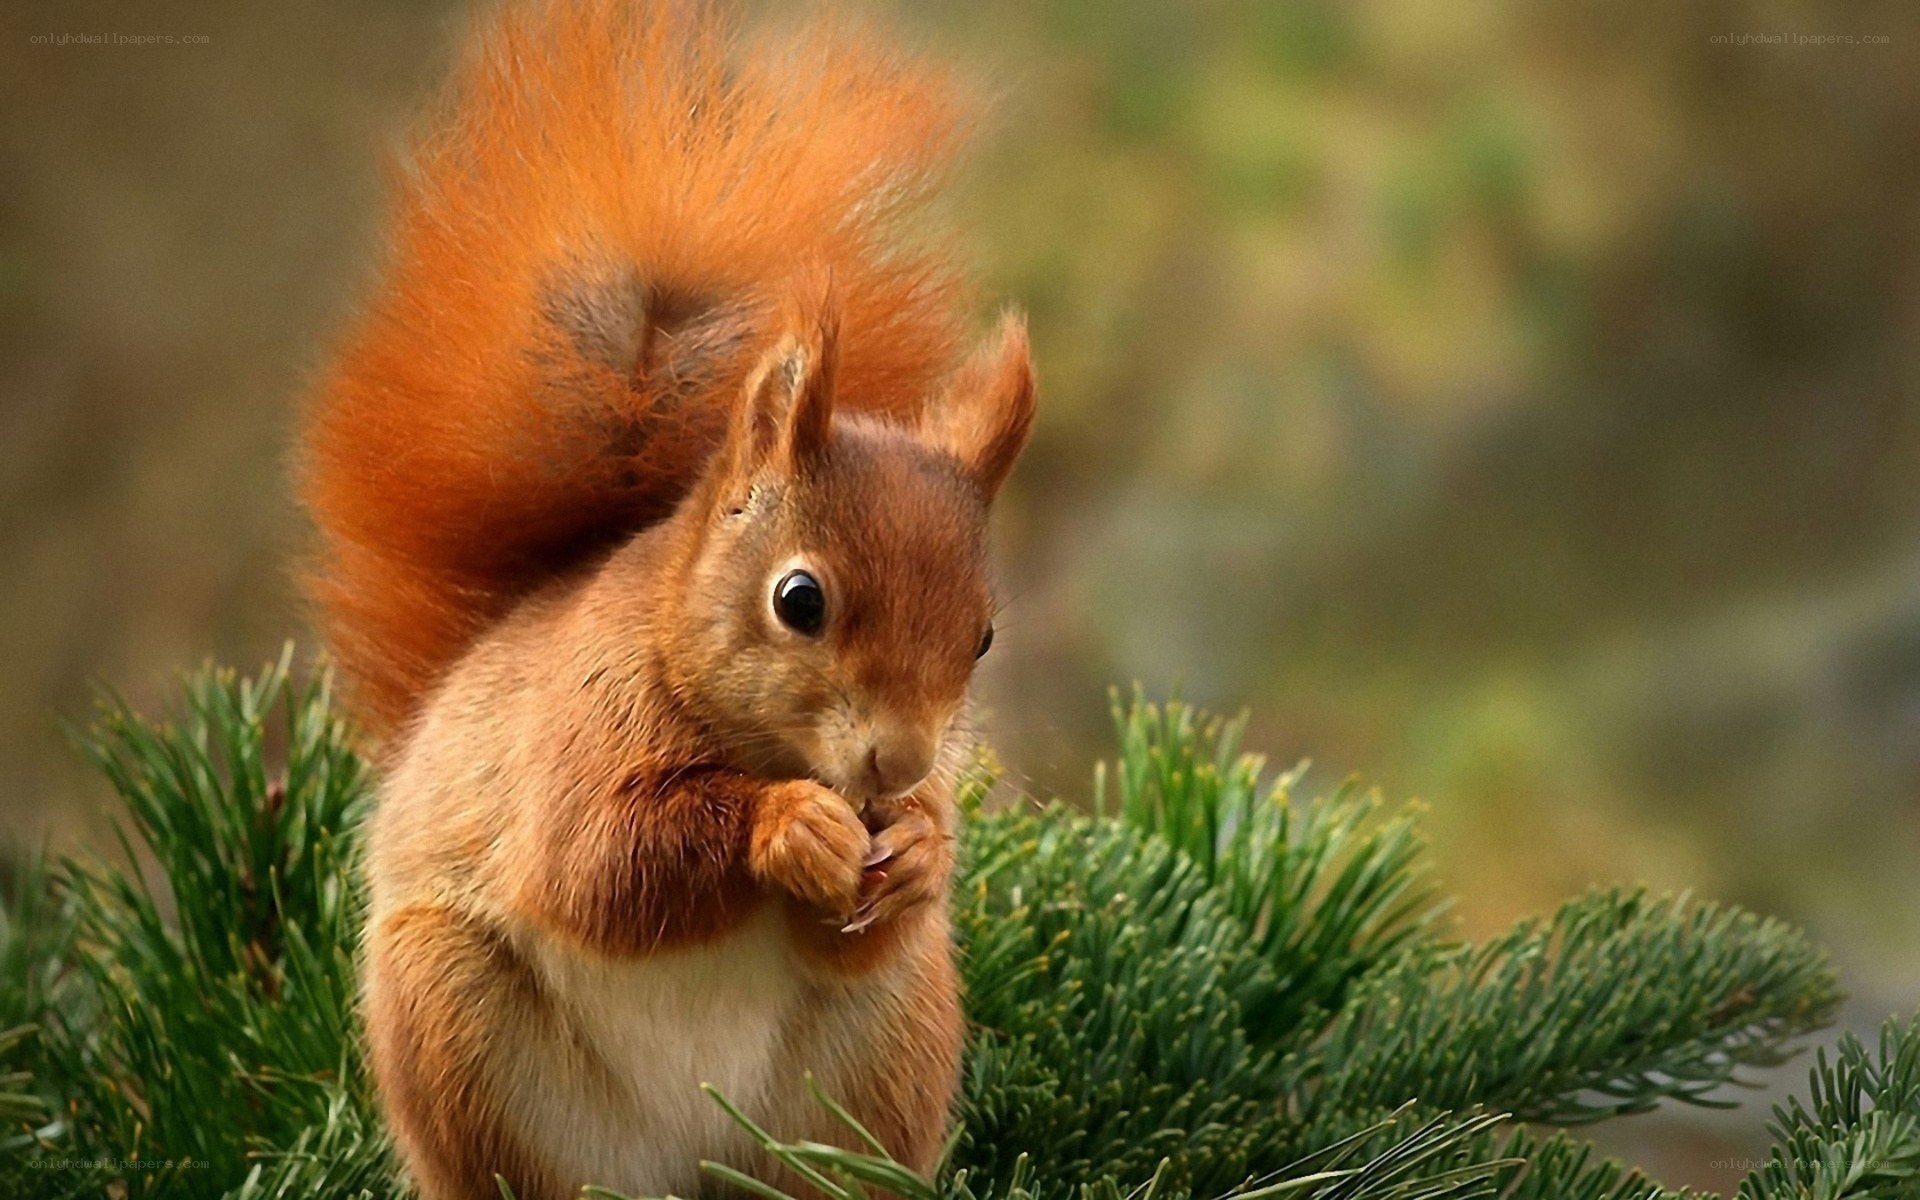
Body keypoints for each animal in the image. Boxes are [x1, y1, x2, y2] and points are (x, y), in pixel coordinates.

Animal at [297, 2, 1035, 1197]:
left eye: (982, 636)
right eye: (799, 599)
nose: (901, 764)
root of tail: (693, 1165)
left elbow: (863, 921)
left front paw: (923, 851)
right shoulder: (579, 730)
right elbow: (599, 862)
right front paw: (788, 826)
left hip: (886, 1050)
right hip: (454, 1024)